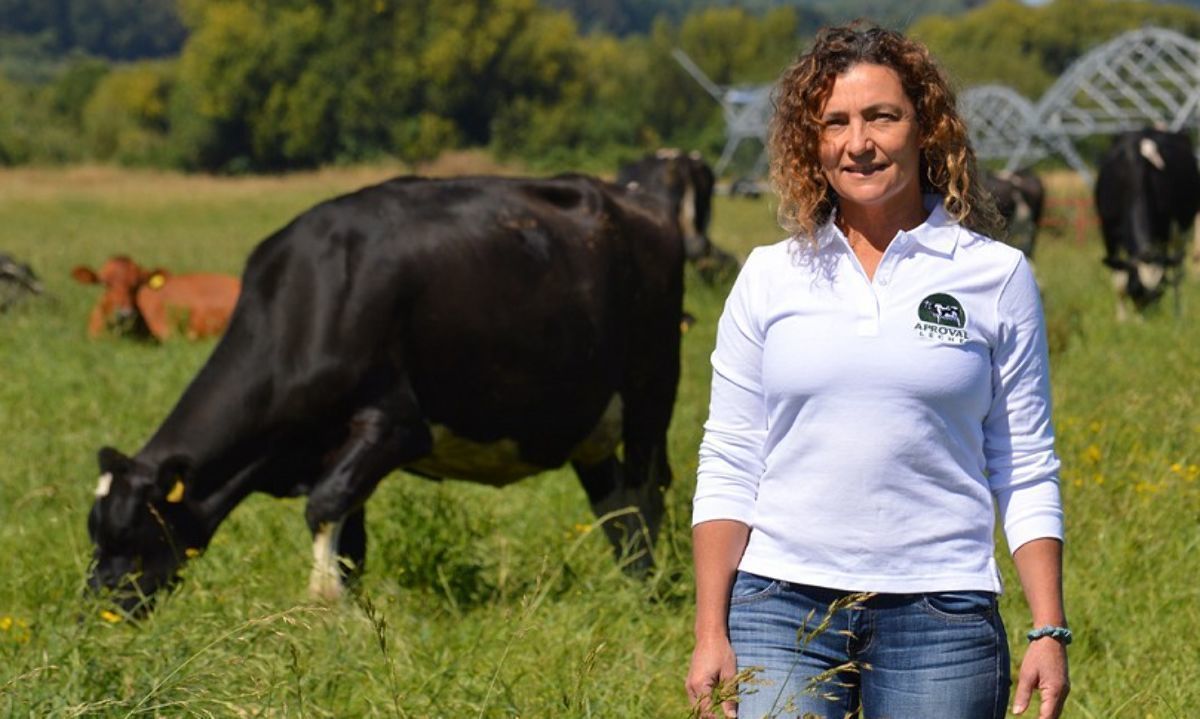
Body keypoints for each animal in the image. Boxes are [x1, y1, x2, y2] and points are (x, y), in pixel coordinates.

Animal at [1099, 128, 1200, 316]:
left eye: (1160, 292)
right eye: (1135, 290)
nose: (1147, 318)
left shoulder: (1163, 231)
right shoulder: (1108, 229)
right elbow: (1119, 280)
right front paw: (1121, 318)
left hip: (1182, 231)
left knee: (1178, 272)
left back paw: (1178, 312)